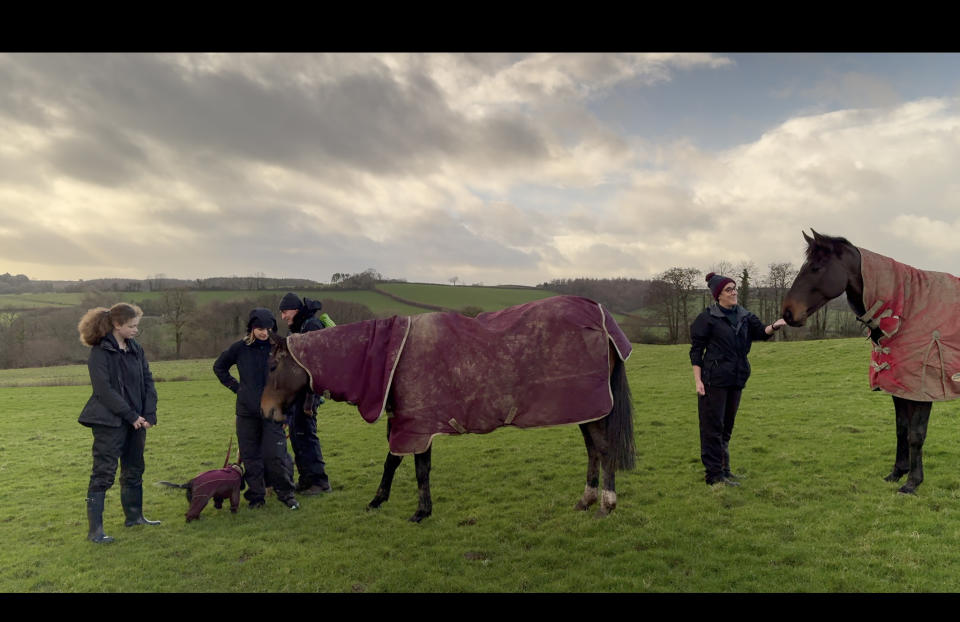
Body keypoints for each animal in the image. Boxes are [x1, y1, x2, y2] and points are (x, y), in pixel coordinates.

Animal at [262, 296, 636, 520]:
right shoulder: (413, 423)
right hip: (584, 409)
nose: (266, 411)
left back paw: (606, 504)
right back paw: (586, 500)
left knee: (604, 449)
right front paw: (394, 504)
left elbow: (409, 467)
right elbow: (404, 465)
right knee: (593, 449)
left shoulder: (416, 424)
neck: (390, 355)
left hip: (592, 407)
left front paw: (409, 509)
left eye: (272, 366)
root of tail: (599, 314)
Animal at [780, 232, 960, 494]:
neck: (905, 310)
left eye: (815, 267)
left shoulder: (922, 392)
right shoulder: (899, 389)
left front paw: (912, 482)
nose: (787, 313)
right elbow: (901, 430)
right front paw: (897, 472)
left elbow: (916, 435)